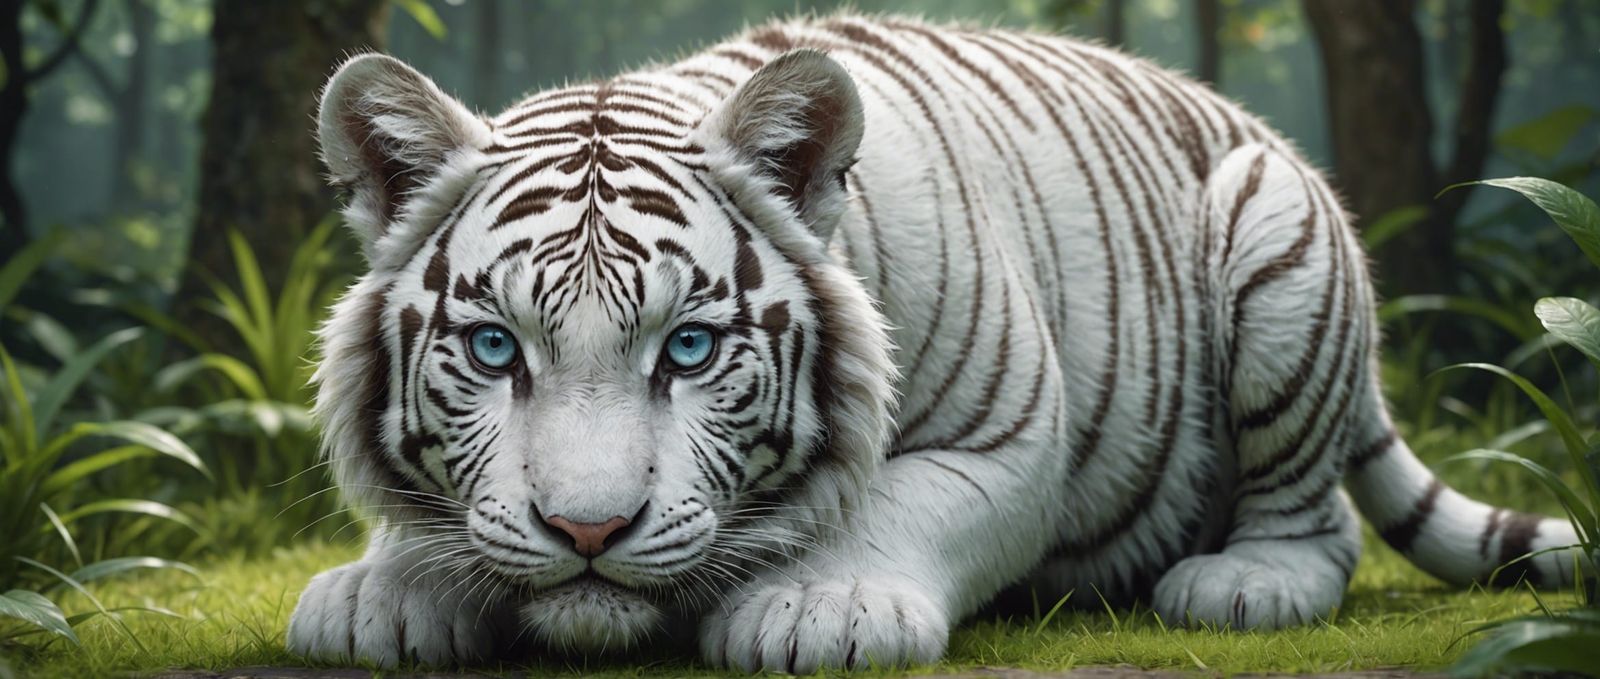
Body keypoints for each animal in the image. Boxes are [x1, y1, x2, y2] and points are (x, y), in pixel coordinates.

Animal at [285, 14, 1580, 672]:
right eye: (494, 350)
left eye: (689, 348)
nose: (589, 531)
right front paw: (374, 596)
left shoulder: (1008, 438)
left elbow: (897, 503)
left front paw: (821, 608)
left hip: (1274, 236)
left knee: (1321, 520)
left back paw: (1243, 583)